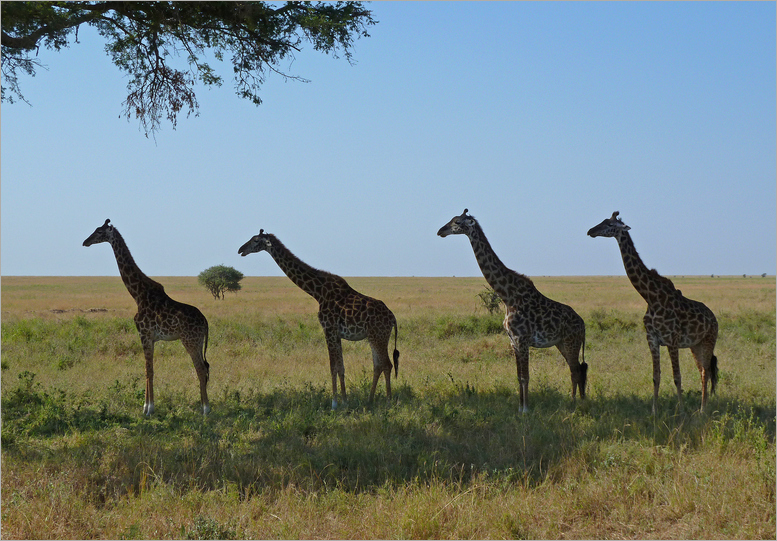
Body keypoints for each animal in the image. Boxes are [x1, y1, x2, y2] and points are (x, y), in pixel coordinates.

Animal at [82, 218, 209, 414]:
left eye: (99, 232)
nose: (85, 242)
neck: (138, 294)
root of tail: (205, 322)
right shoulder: (151, 337)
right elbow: (150, 369)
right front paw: (148, 406)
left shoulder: (144, 334)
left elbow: (148, 370)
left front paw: (148, 409)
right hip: (199, 340)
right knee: (205, 368)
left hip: (190, 341)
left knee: (201, 369)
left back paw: (205, 409)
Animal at [238, 229, 400, 410]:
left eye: (255, 240)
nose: (240, 250)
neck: (317, 292)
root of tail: (393, 318)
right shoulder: (335, 333)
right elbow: (340, 366)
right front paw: (344, 401)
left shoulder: (328, 329)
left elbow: (333, 366)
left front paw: (335, 404)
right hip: (374, 337)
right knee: (378, 365)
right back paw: (370, 400)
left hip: (378, 336)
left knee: (387, 364)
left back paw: (388, 402)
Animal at [436, 209, 588, 412]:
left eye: (457, 222)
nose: (440, 231)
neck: (508, 296)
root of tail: (583, 324)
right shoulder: (513, 341)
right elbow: (518, 376)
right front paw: (519, 408)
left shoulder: (522, 340)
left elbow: (525, 377)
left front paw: (526, 410)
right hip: (562, 343)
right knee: (577, 369)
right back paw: (579, 401)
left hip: (572, 342)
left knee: (576, 370)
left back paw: (573, 403)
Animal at [584, 209, 720, 412]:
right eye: (603, 220)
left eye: (610, 225)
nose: (590, 231)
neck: (650, 296)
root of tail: (714, 318)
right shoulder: (652, 338)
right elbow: (656, 376)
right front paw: (654, 411)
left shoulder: (672, 339)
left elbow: (677, 377)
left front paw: (681, 411)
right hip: (695, 345)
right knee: (704, 371)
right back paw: (701, 408)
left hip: (709, 340)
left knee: (706, 372)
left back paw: (703, 410)